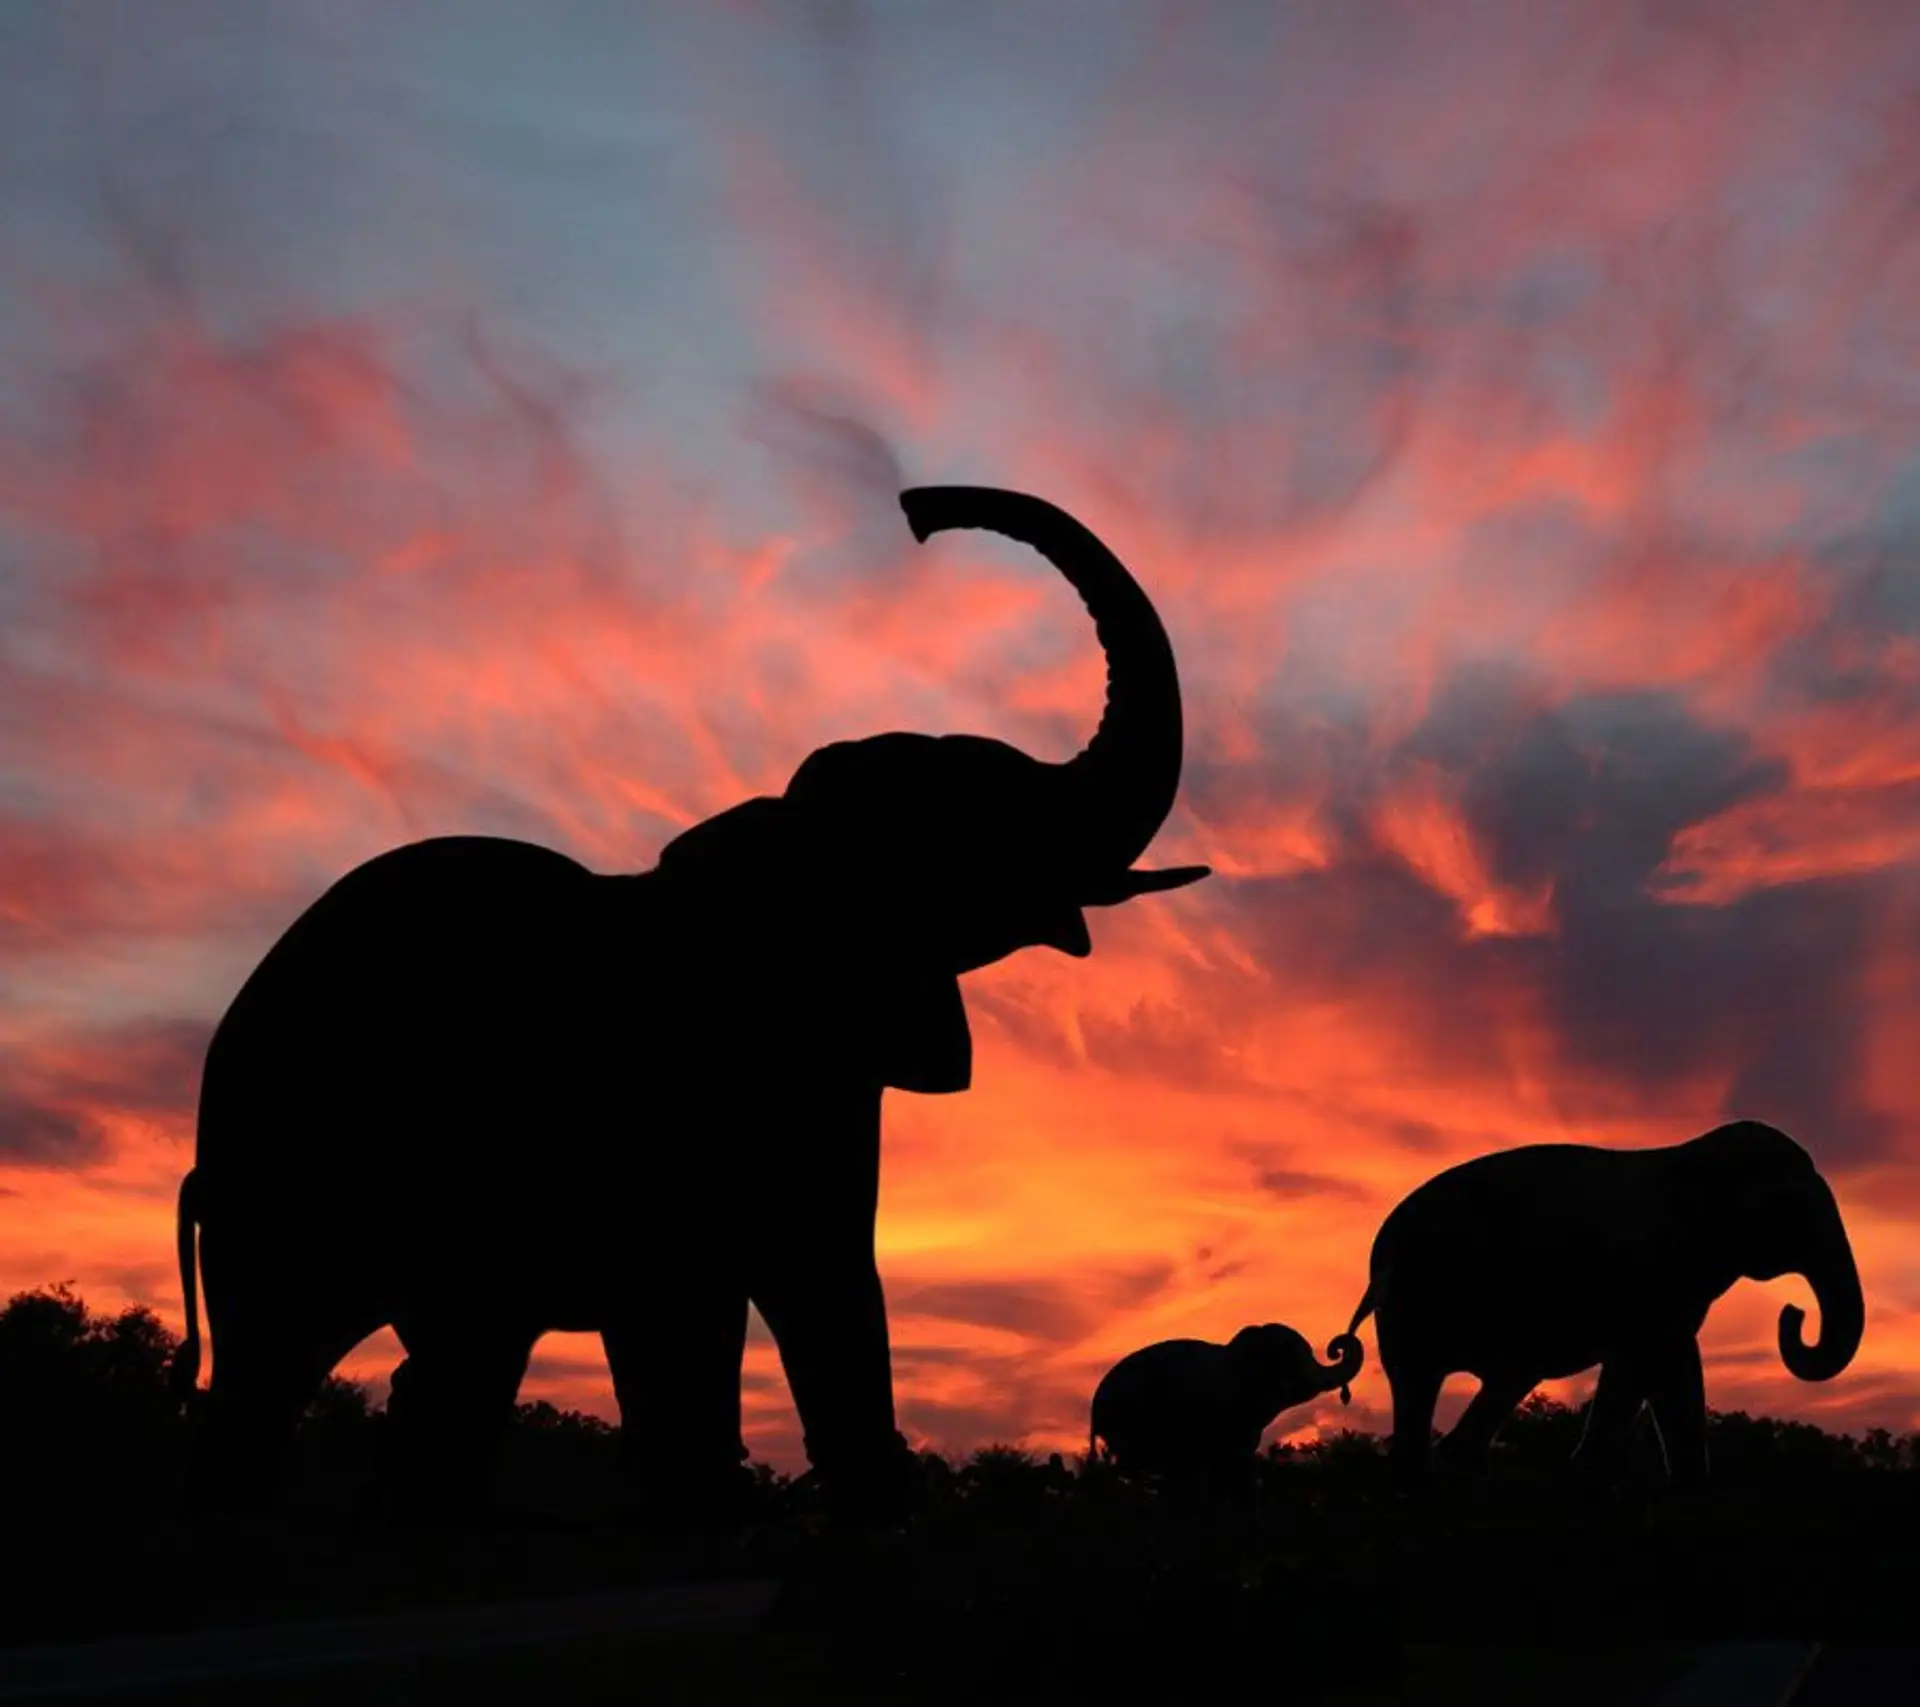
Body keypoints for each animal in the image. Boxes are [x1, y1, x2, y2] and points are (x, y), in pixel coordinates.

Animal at [167, 485, 1210, 1527]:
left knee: (456, 1366)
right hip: (286, 1157)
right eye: (963, 823)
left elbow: (820, 1284)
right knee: (278, 1367)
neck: (783, 840)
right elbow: (706, 1325)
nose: (918, 511)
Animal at [1342, 1120, 1864, 1491]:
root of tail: (1379, 1250)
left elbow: (1654, 1370)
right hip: (1424, 1303)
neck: (1689, 1158)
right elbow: (1653, 1366)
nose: (1794, 1313)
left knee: (1475, 1384)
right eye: (1789, 1206)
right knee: (1436, 1382)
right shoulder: (1648, 1273)